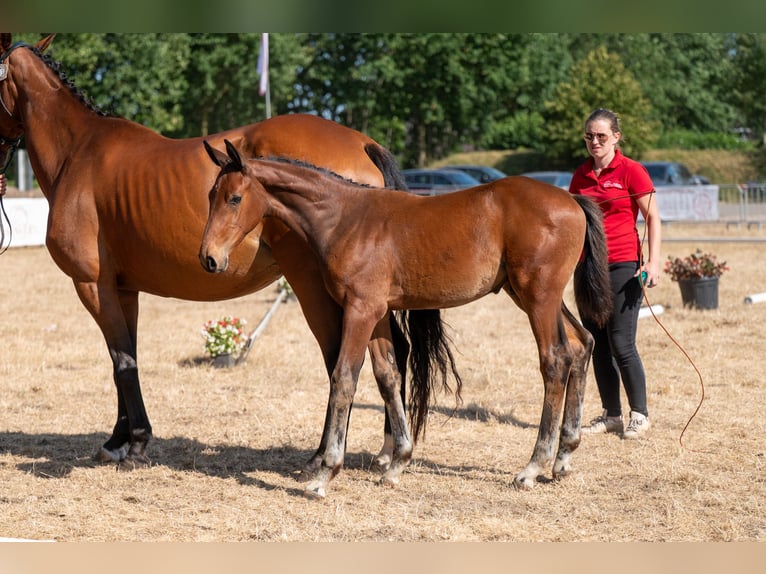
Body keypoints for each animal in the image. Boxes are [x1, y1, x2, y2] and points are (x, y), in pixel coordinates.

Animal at [0, 33, 452, 483]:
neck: (79, 151)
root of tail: (361, 141)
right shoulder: (123, 289)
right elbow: (125, 359)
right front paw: (118, 440)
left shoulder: (92, 285)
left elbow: (122, 363)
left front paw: (135, 444)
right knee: (390, 355)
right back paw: (386, 449)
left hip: (315, 287)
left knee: (341, 362)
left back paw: (324, 458)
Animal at [199, 140, 613, 497]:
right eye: (209, 196)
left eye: (234, 198)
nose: (209, 259)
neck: (346, 219)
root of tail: (572, 200)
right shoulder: (378, 311)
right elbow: (388, 375)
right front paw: (397, 462)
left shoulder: (360, 309)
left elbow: (344, 378)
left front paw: (325, 472)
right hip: (533, 295)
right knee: (582, 344)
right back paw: (563, 457)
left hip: (538, 296)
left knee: (555, 359)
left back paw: (533, 466)